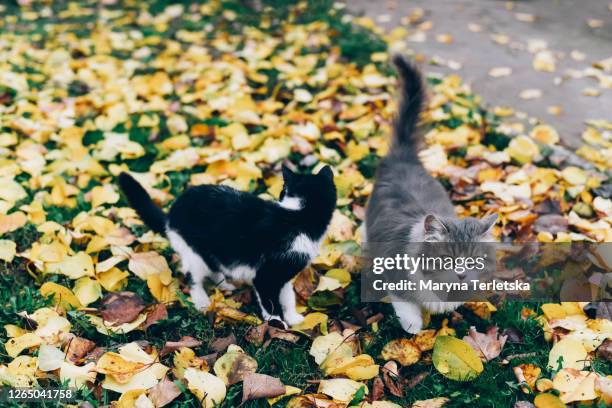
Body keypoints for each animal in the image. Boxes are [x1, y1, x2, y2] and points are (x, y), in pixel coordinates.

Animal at [118, 164, 334, 326]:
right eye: (282, 191)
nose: (280, 195)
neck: (297, 216)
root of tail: (171, 213)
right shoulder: (265, 276)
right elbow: (270, 301)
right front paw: (277, 323)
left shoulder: (285, 273)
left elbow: (287, 296)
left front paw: (292, 318)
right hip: (193, 251)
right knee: (193, 277)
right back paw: (202, 301)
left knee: (215, 265)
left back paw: (224, 284)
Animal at [364, 55, 498, 334]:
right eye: (448, 259)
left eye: (474, 260)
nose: (461, 275)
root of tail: (403, 157)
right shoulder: (394, 272)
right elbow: (406, 304)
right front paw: (414, 326)